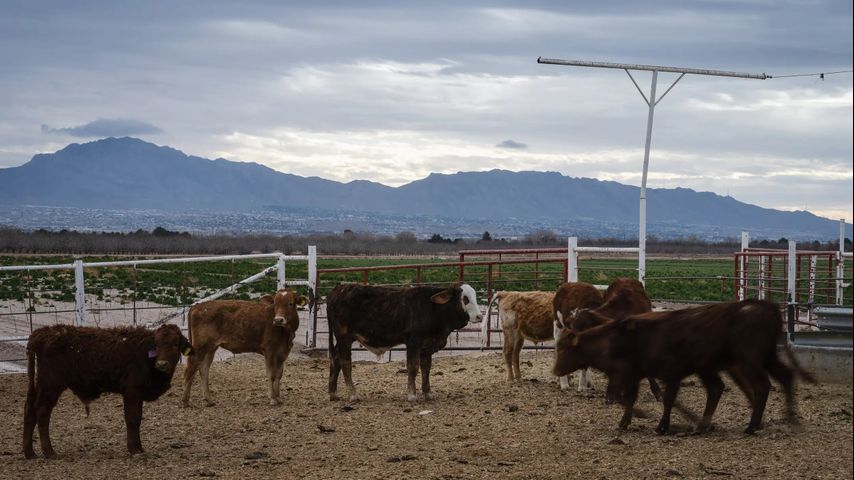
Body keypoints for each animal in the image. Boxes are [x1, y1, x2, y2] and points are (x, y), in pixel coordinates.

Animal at [22, 322, 193, 458]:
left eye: (175, 344)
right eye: (156, 345)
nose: (162, 364)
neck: (146, 356)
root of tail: (42, 332)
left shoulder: (138, 394)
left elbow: (138, 419)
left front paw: (139, 447)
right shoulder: (131, 392)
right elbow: (132, 419)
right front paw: (134, 449)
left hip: (41, 385)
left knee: (30, 410)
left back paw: (29, 452)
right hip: (51, 385)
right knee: (42, 411)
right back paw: (49, 451)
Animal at [182, 288, 310, 408]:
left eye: (291, 303)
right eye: (275, 303)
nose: (278, 320)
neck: (285, 333)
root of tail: (198, 306)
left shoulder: (282, 353)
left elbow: (279, 375)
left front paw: (278, 398)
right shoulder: (269, 351)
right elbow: (271, 375)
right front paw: (272, 399)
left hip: (211, 348)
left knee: (203, 369)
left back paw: (208, 400)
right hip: (200, 346)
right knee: (190, 369)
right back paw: (185, 401)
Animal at [326, 282, 482, 402]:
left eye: (474, 296)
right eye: (465, 298)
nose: (479, 316)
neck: (433, 308)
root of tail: (338, 289)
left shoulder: (427, 346)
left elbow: (426, 368)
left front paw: (428, 393)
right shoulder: (413, 342)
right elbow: (413, 367)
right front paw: (412, 395)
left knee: (336, 359)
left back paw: (333, 393)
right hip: (344, 337)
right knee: (345, 362)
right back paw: (352, 394)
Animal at [556, 300, 816, 436]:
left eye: (565, 350)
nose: (556, 371)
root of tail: (764, 305)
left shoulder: (666, 373)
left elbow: (666, 399)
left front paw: (662, 425)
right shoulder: (636, 375)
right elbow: (631, 398)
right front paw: (626, 422)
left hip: (749, 361)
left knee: (760, 386)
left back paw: (751, 426)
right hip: (763, 358)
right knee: (782, 378)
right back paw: (788, 417)